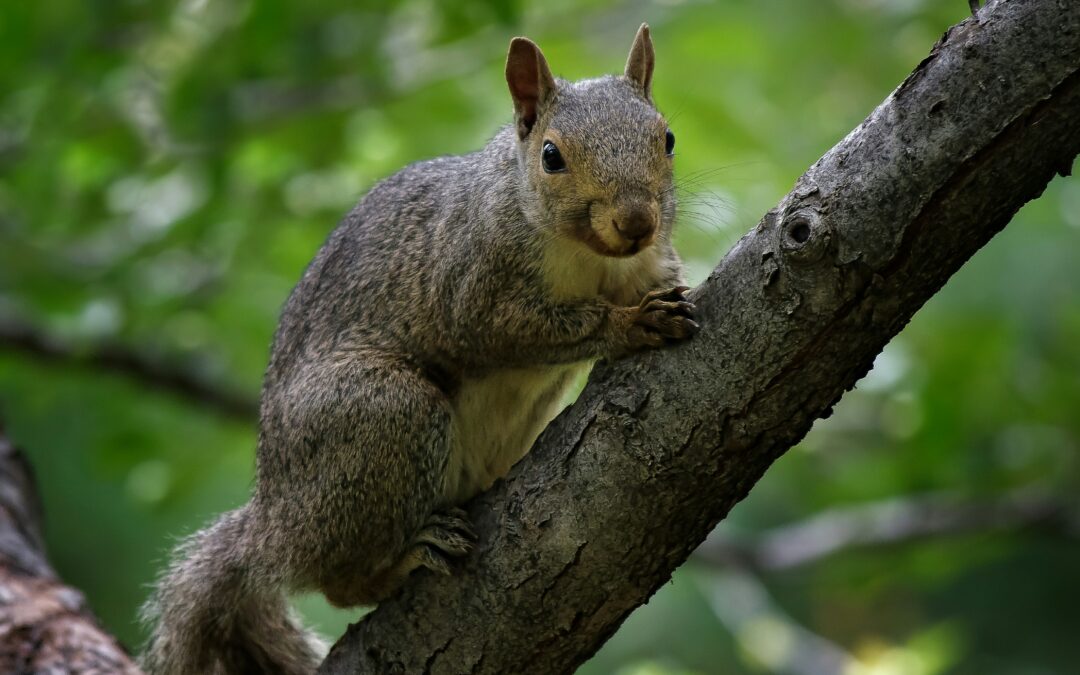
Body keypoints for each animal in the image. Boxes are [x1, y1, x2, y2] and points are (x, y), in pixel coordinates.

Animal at [141, 23, 696, 675]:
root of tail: (272, 525)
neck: (590, 257)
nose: (636, 222)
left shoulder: (646, 260)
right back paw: (405, 555)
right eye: (551, 156)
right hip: (384, 416)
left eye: (667, 139)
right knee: (339, 580)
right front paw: (630, 324)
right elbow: (513, 328)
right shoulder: (470, 285)